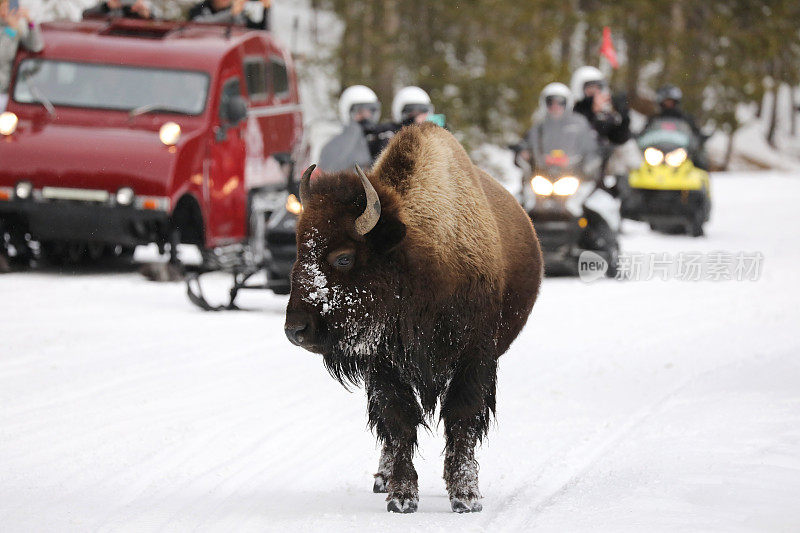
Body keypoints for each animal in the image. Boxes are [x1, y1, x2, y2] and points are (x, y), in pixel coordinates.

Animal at [284, 122, 540, 512]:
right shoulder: (384, 366)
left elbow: (462, 417)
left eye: (343, 257)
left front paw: (465, 496)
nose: (296, 329)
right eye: (299, 250)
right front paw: (402, 496)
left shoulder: (474, 357)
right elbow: (398, 422)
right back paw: (383, 478)